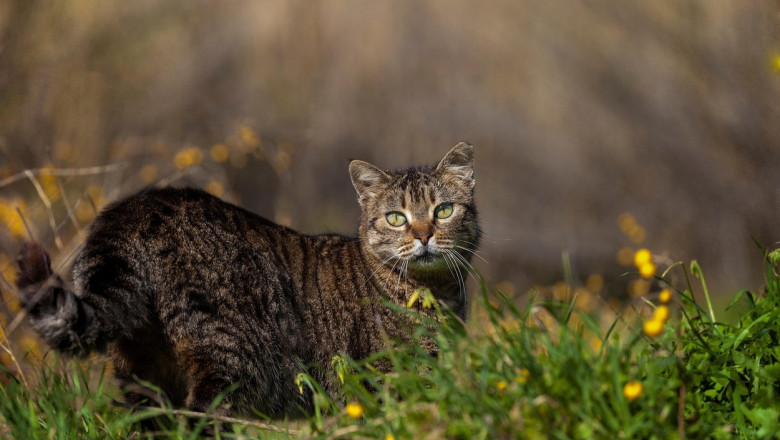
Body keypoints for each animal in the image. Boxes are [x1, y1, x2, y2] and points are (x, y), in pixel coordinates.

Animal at [16, 143, 482, 418]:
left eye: (443, 211)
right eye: (396, 218)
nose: (423, 235)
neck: (436, 294)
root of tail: (137, 206)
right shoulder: (391, 379)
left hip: (144, 377)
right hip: (230, 359)